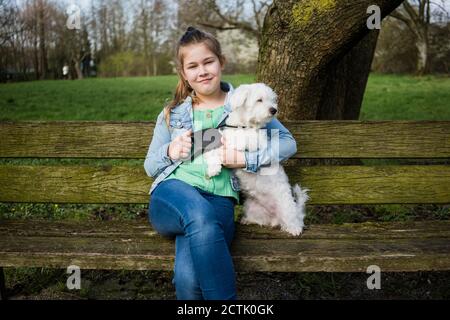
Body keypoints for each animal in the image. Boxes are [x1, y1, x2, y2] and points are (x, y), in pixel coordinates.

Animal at [204, 84, 310, 236]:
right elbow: (214, 150)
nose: (274, 110)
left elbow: (234, 143)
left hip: (287, 206)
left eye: (272, 100)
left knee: (294, 220)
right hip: (250, 207)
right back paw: (248, 220)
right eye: (259, 100)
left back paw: (294, 228)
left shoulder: (254, 141)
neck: (244, 125)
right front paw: (213, 167)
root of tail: (274, 219)